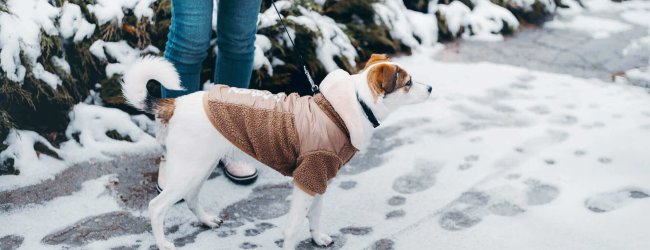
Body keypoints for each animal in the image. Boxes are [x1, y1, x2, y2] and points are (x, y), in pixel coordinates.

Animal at [121, 54, 430, 250]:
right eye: (408, 83)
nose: (429, 87)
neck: (349, 106)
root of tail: (175, 104)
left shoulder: (319, 178)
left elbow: (314, 215)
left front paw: (318, 238)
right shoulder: (308, 177)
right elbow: (293, 227)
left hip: (201, 165)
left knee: (192, 198)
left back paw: (207, 221)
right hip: (190, 167)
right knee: (157, 207)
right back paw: (162, 243)